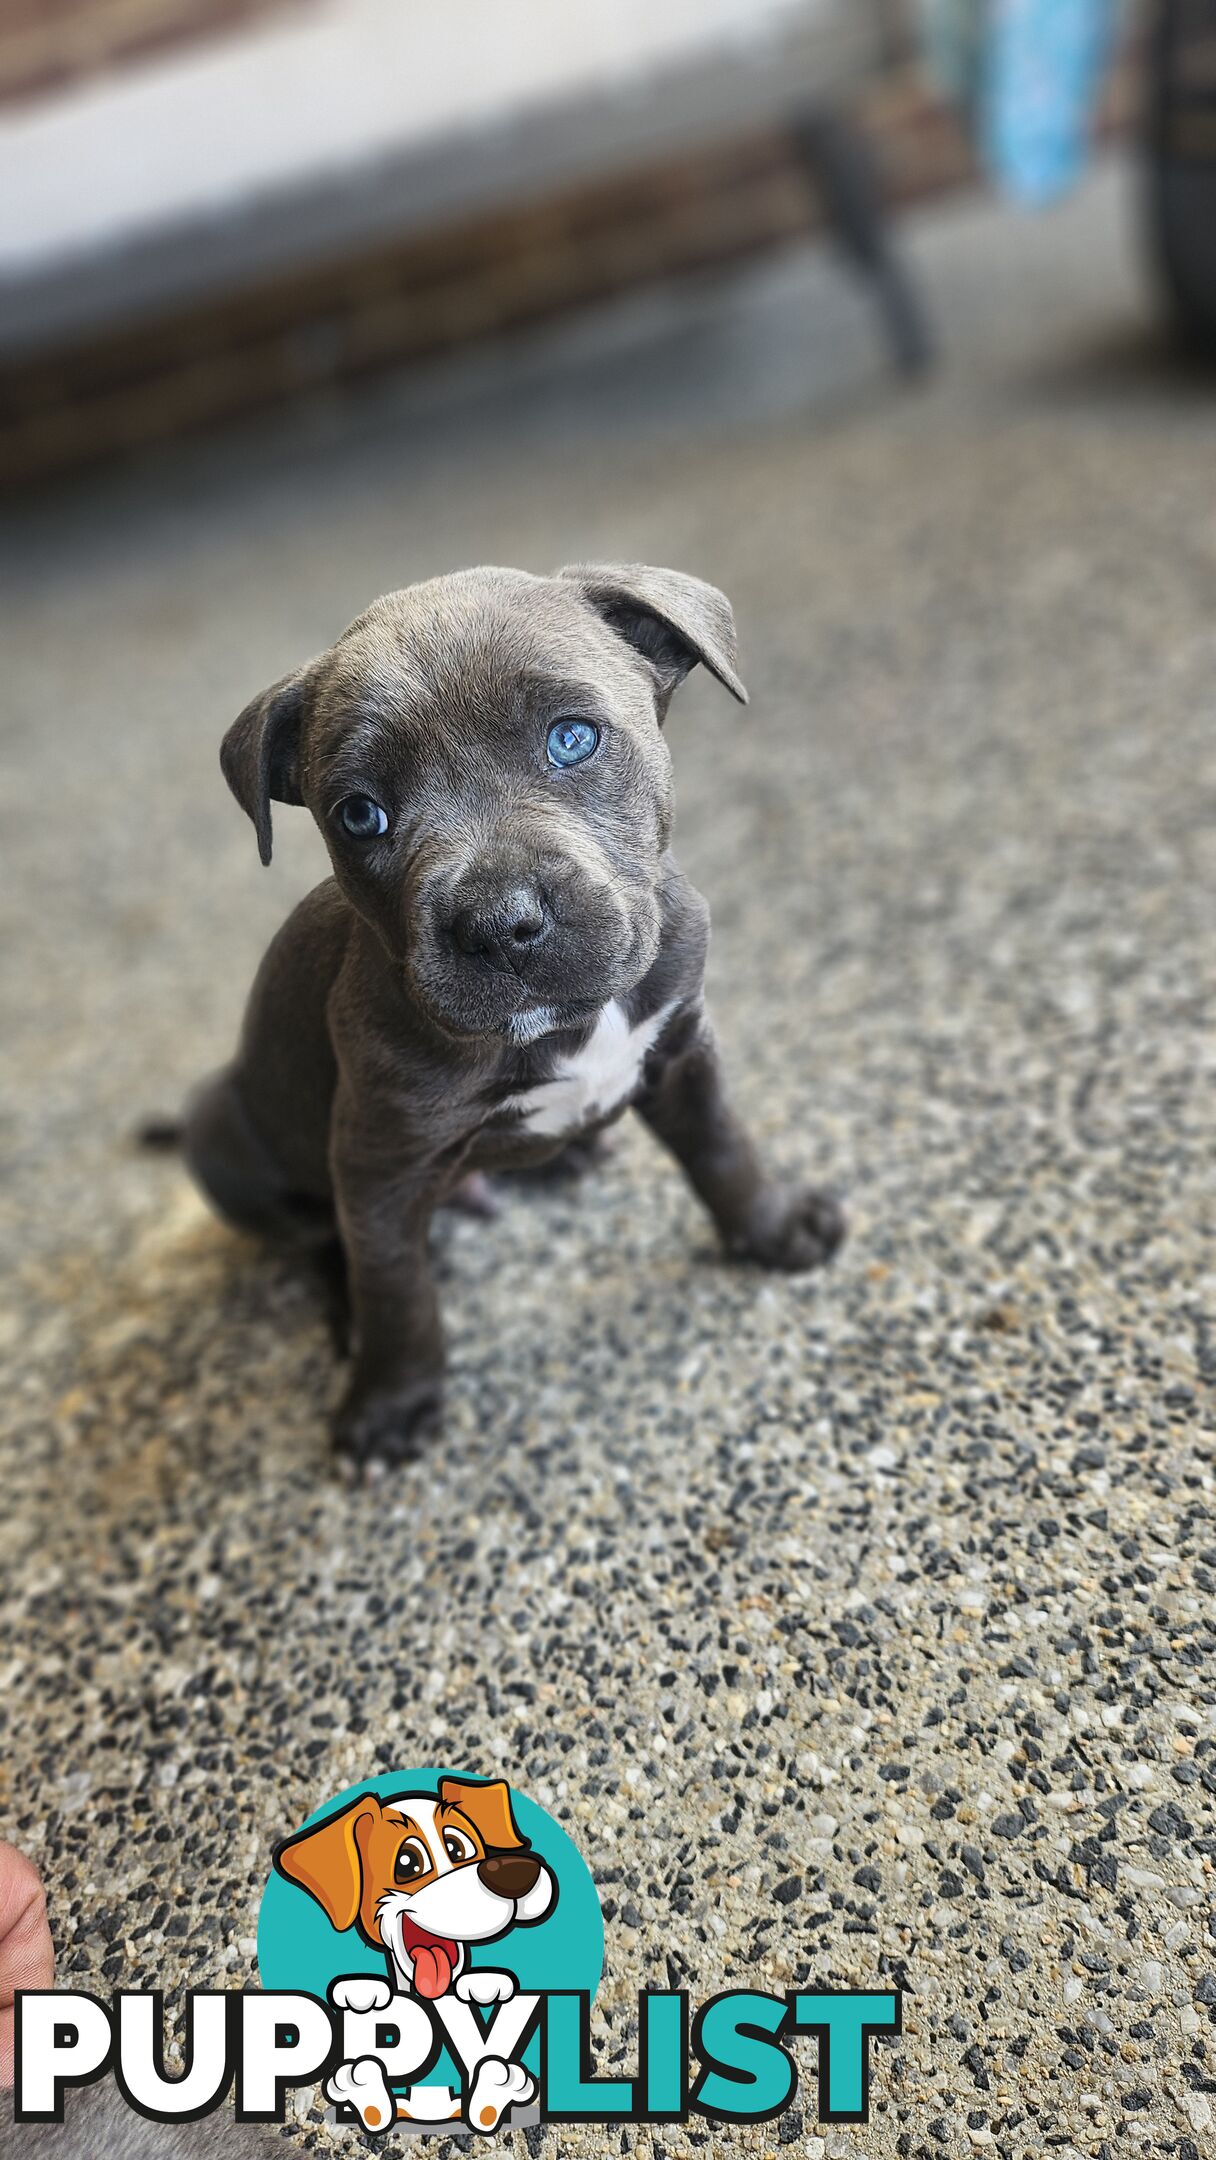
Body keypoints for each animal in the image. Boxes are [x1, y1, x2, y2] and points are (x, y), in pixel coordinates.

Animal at [183, 557, 846, 1477]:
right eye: (359, 814)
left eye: (572, 739)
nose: (499, 924)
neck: (571, 1026)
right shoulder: (380, 1162)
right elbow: (394, 1289)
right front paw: (391, 1398)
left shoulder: (683, 1050)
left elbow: (724, 1149)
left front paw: (772, 1228)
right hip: (217, 1127)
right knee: (323, 1240)